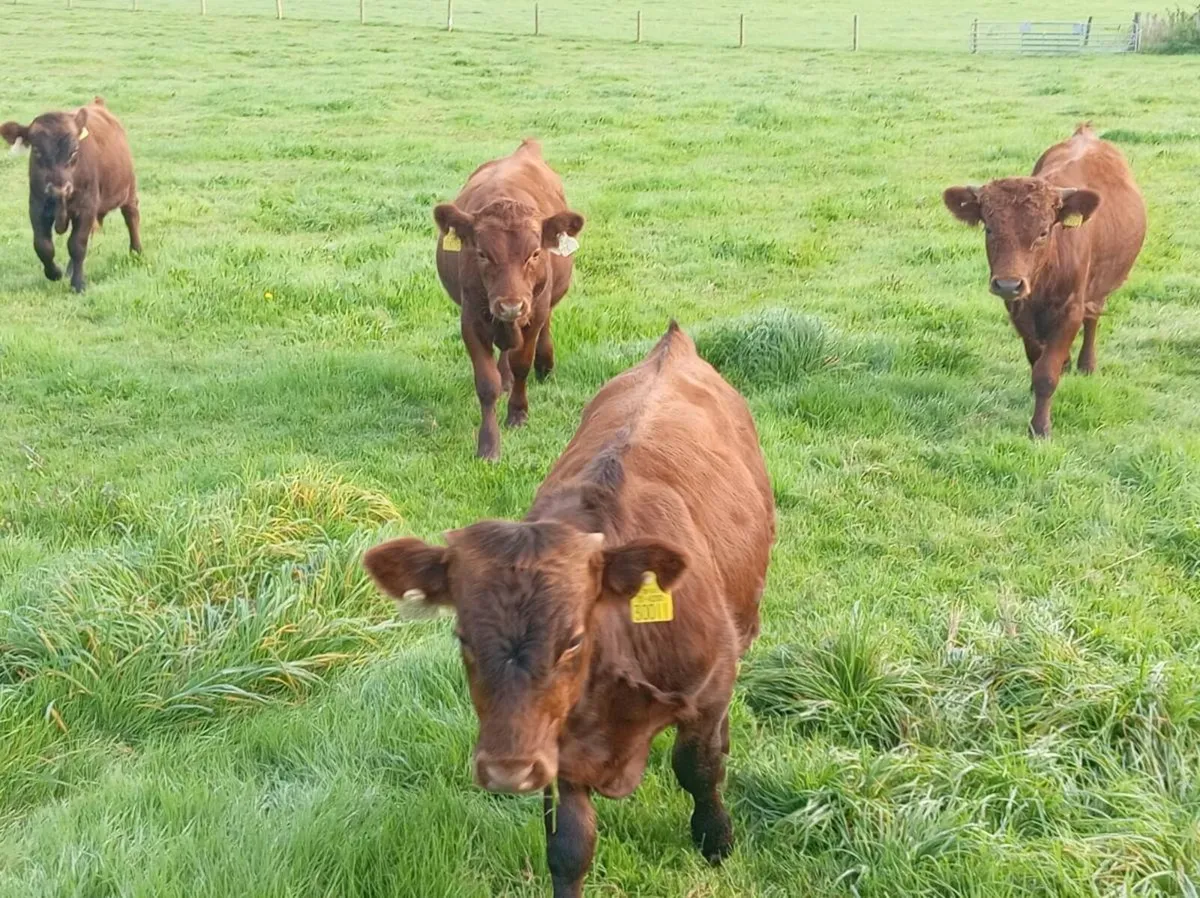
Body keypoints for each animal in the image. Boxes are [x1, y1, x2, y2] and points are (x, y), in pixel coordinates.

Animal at [1, 97, 141, 293]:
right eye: (36, 150)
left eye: (74, 150)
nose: (59, 189)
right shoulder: (36, 207)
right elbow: (43, 245)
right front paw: (55, 273)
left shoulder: (86, 207)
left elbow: (77, 244)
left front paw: (78, 284)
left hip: (128, 188)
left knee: (131, 216)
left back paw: (136, 252)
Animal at [364, 322, 775, 897]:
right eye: (462, 638)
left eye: (574, 639)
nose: (506, 769)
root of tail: (672, 345)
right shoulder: (555, 739)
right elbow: (569, 845)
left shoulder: (709, 689)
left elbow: (699, 767)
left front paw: (715, 838)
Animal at [434, 139, 584, 461]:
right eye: (481, 254)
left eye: (535, 254)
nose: (511, 305)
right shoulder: (472, 319)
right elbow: (487, 382)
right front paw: (488, 444)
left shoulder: (534, 312)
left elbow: (521, 363)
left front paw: (518, 413)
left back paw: (544, 364)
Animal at [943, 124, 1146, 437]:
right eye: (989, 228)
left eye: (1043, 232)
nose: (1008, 284)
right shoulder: (1018, 310)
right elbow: (1037, 357)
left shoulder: (1070, 310)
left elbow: (1046, 373)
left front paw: (1040, 428)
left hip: (1099, 288)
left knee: (1093, 319)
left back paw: (1086, 364)